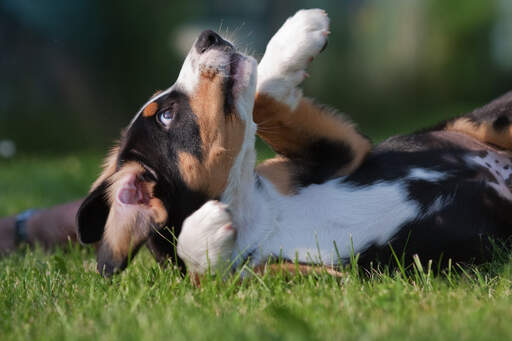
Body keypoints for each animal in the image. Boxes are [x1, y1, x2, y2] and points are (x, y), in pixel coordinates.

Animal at [78, 9, 512, 276]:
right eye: (166, 115)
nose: (207, 36)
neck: (255, 211)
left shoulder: (337, 154)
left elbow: (265, 97)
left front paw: (298, 33)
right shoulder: (307, 279)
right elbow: (206, 272)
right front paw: (203, 234)